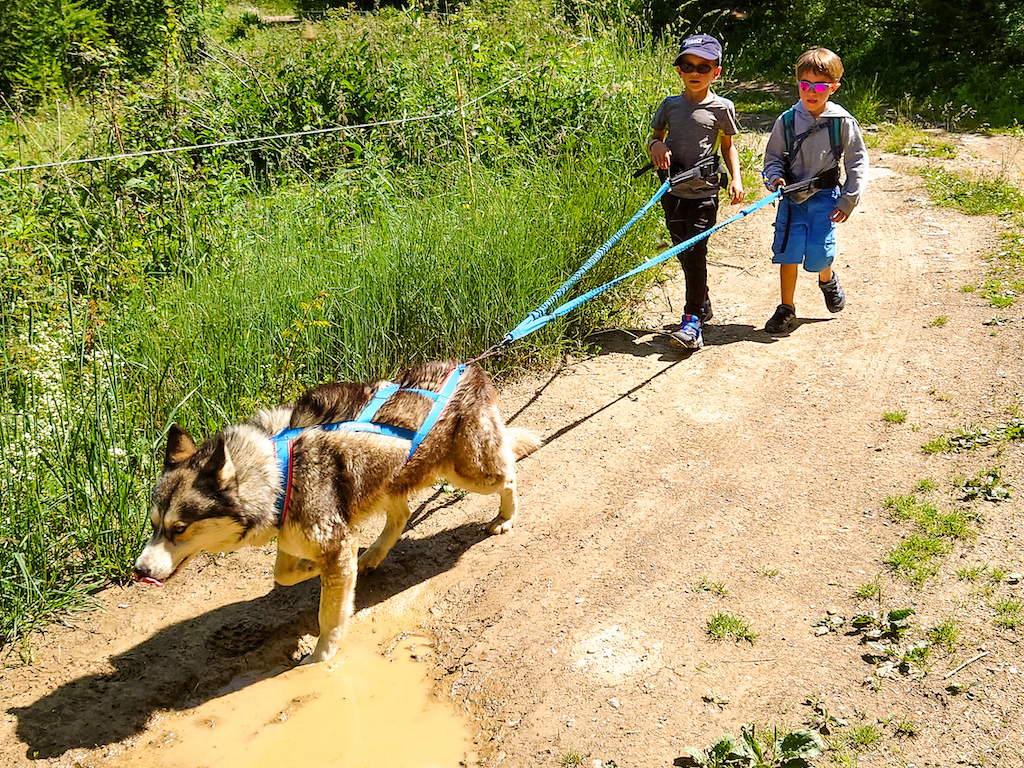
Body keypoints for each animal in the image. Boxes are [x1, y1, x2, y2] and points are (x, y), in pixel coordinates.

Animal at [134, 364, 544, 663]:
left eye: (179, 528)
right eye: (154, 525)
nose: (138, 571)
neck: (279, 468)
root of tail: (469, 368)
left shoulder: (331, 541)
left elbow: (329, 615)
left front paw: (321, 657)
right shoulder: (299, 535)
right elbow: (284, 573)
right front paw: (310, 569)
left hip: (469, 472)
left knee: (509, 473)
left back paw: (506, 517)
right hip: (388, 485)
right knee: (401, 517)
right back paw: (372, 555)